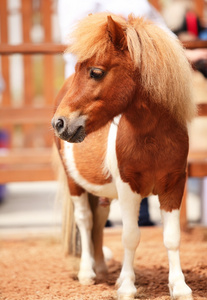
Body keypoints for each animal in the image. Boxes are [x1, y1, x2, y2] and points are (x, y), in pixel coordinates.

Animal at [52, 12, 195, 300]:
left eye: (95, 72)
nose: (60, 123)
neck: (153, 141)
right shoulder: (129, 189)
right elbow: (130, 236)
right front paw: (128, 286)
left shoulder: (174, 186)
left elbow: (172, 238)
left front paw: (179, 286)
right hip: (75, 185)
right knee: (85, 222)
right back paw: (87, 273)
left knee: (98, 223)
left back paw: (103, 270)